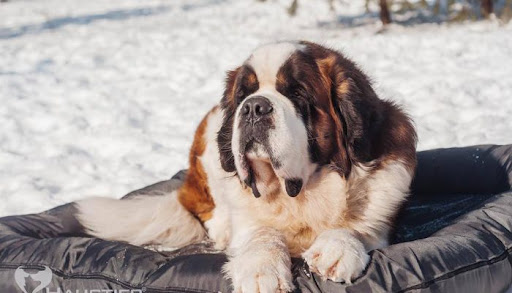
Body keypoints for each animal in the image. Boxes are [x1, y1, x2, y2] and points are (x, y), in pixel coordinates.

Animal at [78, 40, 418, 290]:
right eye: (244, 93)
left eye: (298, 93)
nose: (254, 107)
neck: (302, 195)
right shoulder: (248, 218)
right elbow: (262, 234)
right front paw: (262, 271)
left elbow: (358, 224)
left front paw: (337, 248)